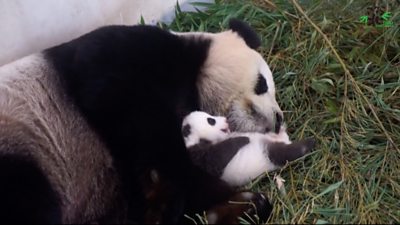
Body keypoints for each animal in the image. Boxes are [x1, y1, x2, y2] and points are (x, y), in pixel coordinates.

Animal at [0, 19, 284, 223]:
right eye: (262, 84)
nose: (279, 119)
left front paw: (243, 205)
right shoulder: (121, 58)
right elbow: (141, 124)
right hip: (24, 152)